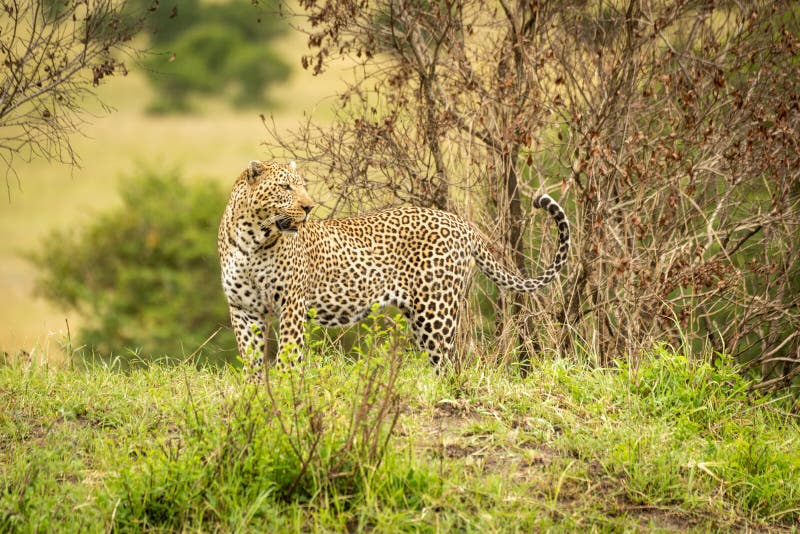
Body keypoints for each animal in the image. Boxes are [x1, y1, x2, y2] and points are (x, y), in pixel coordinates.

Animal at [218, 160, 570, 378]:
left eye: (301, 186)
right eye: (285, 188)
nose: (308, 207)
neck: (252, 239)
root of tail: (462, 224)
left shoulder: (291, 304)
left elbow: (288, 355)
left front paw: (283, 387)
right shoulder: (243, 309)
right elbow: (250, 356)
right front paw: (255, 390)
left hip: (436, 312)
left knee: (450, 365)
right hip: (420, 317)